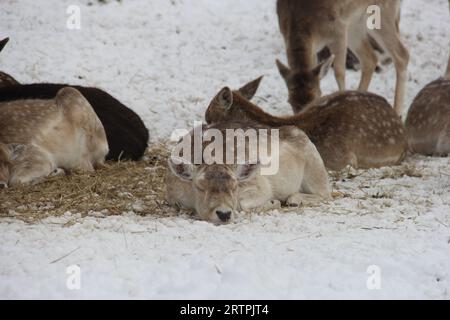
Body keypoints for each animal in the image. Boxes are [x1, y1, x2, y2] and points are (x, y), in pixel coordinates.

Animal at [165, 121, 330, 224]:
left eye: (235, 186)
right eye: (200, 187)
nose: (224, 214)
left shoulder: (261, 186)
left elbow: (243, 204)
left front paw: (272, 202)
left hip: (315, 168)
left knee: (325, 193)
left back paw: (294, 199)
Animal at [276, 0, 410, 115]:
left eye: (317, 96)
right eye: (289, 101)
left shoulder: (338, 30)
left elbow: (339, 72)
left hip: (382, 12)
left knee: (402, 55)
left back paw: (397, 113)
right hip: (355, 24)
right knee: (369, 59)